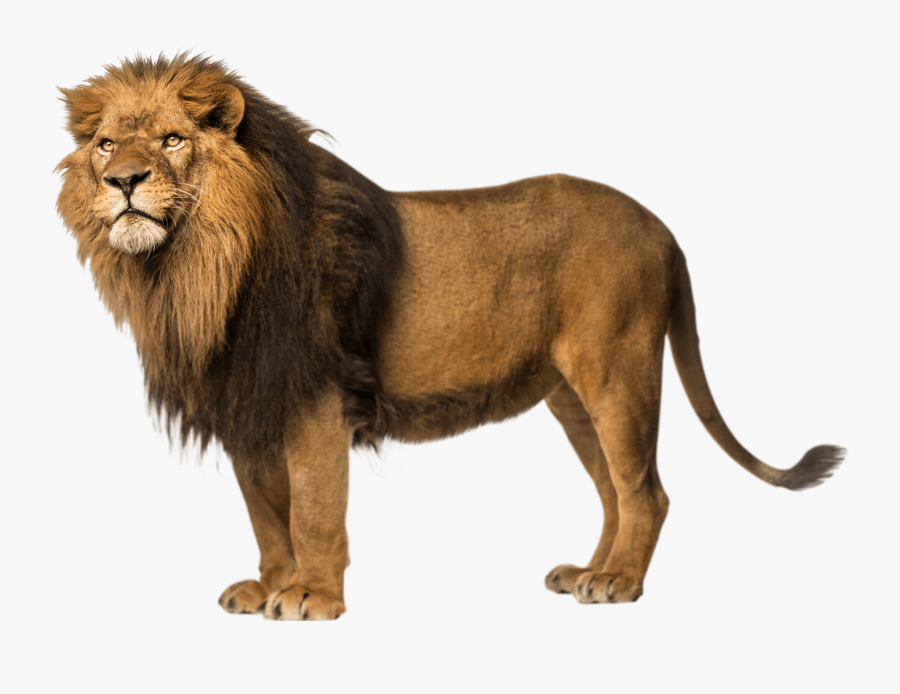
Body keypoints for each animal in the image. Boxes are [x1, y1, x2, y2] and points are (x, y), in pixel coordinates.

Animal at [56, 54, 844, 621]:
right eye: (105, 144)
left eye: (172, 139)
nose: (124, 180)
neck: (192, 270)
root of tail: (662, 227)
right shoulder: (247, 402)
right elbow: (266, 514)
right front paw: (269, 586)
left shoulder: (315, 399)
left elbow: (312, 509)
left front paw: (311, 597)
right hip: (572, 397)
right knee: (615, 492)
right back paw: (590, 572)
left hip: (618, 371)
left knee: (646, 491)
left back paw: (619, 582)